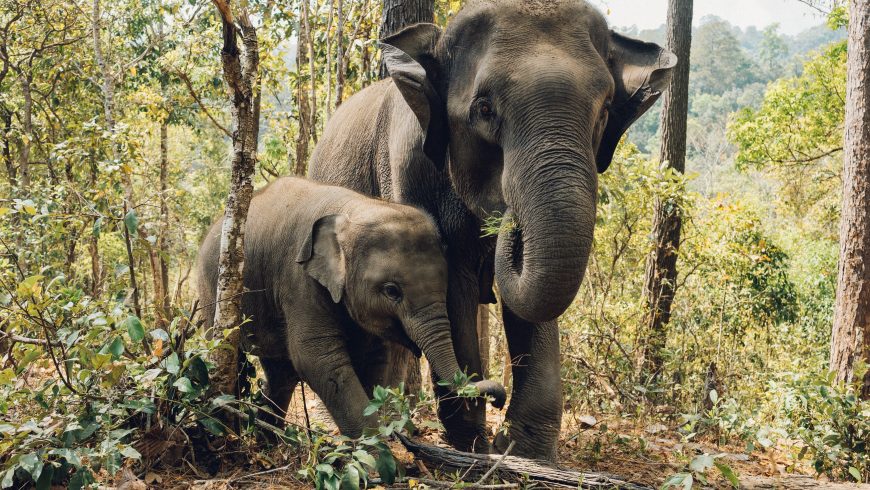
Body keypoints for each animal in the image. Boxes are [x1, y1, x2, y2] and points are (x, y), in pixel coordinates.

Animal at [198, 178, 508, 438]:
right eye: (392, 291)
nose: (498, 399)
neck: (353, 209)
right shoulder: (299, 280)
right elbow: (317, 358)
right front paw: (378, 460)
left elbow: (374, 358)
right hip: (211, 291)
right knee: (231, 356)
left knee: (280, 373)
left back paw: (269, 440)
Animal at [310, 0, 676, 460]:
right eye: (484, 109)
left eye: (606, 110)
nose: (507, 219)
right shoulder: (409, 171)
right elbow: (453, 285)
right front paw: (474, 445)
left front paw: (525, 452)